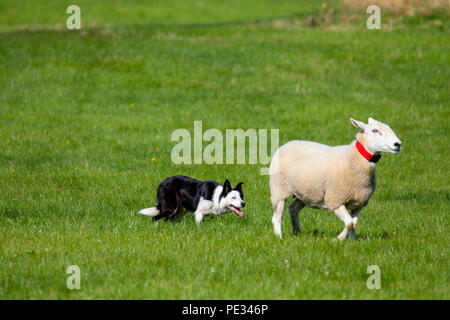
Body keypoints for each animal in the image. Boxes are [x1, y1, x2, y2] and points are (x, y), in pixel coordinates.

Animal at [268, 117, 402, 240]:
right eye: (375, 130)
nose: (398, 144)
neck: (354, 159)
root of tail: (286, 144)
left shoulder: (359, 203)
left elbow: (354, 224)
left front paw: (351, 241)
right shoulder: (335, 199)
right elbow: (349, 223)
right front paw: (338, 239)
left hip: (305, 193)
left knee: (293, 209)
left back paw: (297, 232)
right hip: (279, 189)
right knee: (276, 217)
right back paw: (279, 237)